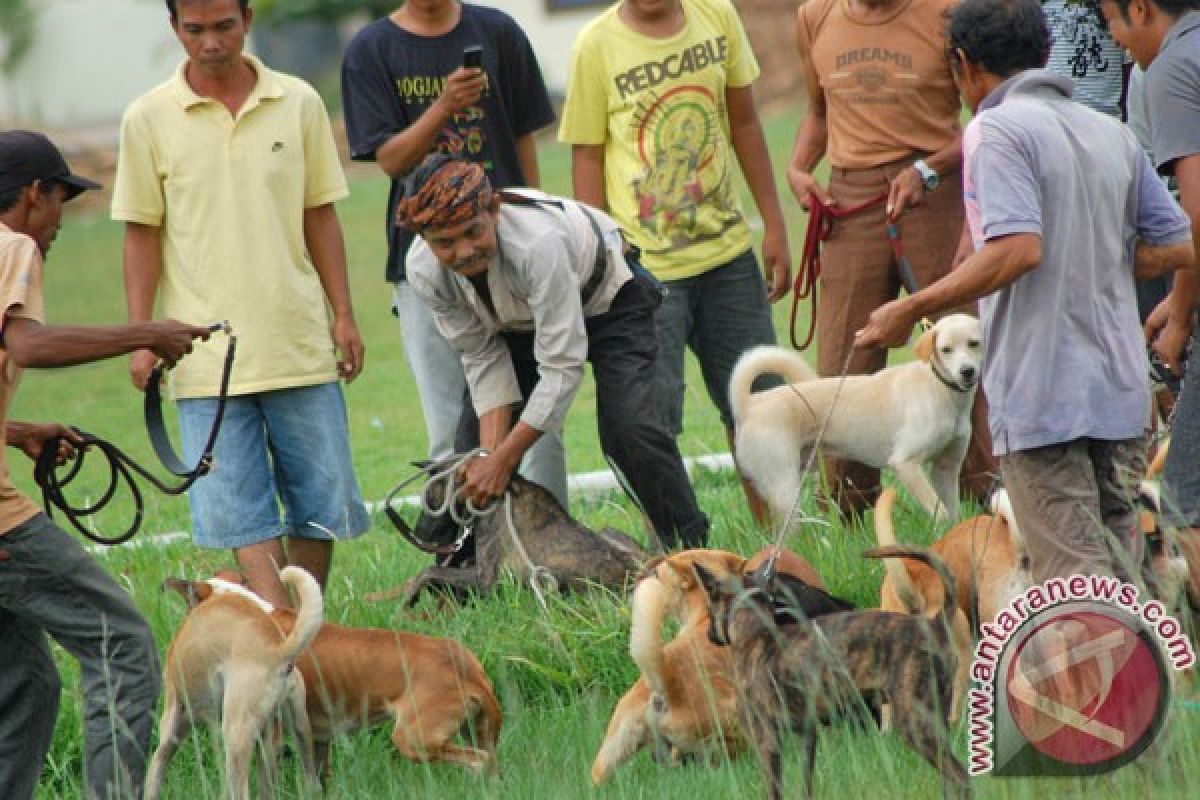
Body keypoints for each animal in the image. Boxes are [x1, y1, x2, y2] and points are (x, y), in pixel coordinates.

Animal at [379, 462, 652, 606]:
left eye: (429, 501)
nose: (416, 534)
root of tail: (633, 576)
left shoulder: (485, 578)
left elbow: (429, 571)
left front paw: (410, 598)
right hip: (611, 534)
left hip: (550, 576)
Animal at [700, 544, 969, 800]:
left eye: (709, 607)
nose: (709, 635)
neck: (756, 630)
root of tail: (934, 625)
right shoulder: (807, 737)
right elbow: (805, 787)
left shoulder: (766, 741)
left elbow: (773, 791)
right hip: (937, 720)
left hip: (915, 725)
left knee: (960, 776)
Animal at [724, 316, 979, 527]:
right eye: (946, 350)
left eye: (974, 343)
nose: (967, 371)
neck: (940, 387)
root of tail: (750, 403)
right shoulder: (905, 464)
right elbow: (941, 513)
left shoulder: (946, 469)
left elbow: (953, 513)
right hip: (784, 490)